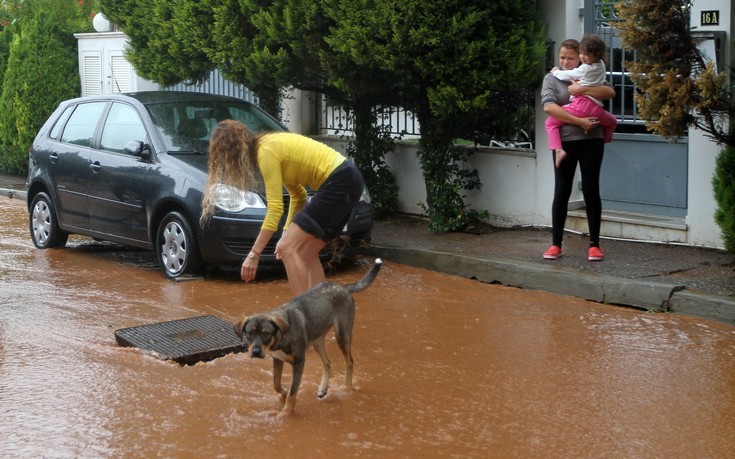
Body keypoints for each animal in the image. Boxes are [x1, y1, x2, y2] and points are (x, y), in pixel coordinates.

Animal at [234, 258, 386, 416]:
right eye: (249, 332)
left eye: (266, 333)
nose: (255, 352)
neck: (281, 338)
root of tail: (343, 287)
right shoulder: (277, 359)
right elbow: (276, 383)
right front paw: (283, 393)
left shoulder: (299, 362)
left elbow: (293, 391)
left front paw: (286, 412)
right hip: (317, 340)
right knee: (327, 362)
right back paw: (323, 389)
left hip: (342, 335)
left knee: (349, 361)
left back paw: (346, 387)